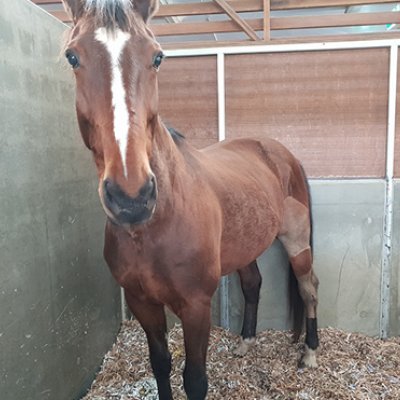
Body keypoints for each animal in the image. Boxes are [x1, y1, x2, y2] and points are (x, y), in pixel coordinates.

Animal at [61, 1, 320, 398]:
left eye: (157, 57)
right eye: (72, 56)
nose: (131, 197)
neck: (155, 225)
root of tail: (280, 151)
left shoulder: (196, 306)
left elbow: (195, 379)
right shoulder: (142, 302)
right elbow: (161, 364)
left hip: (296, 242)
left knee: (308, 288)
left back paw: (309, 352)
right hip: (245, 245)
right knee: (253, 284)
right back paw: (246, 341)